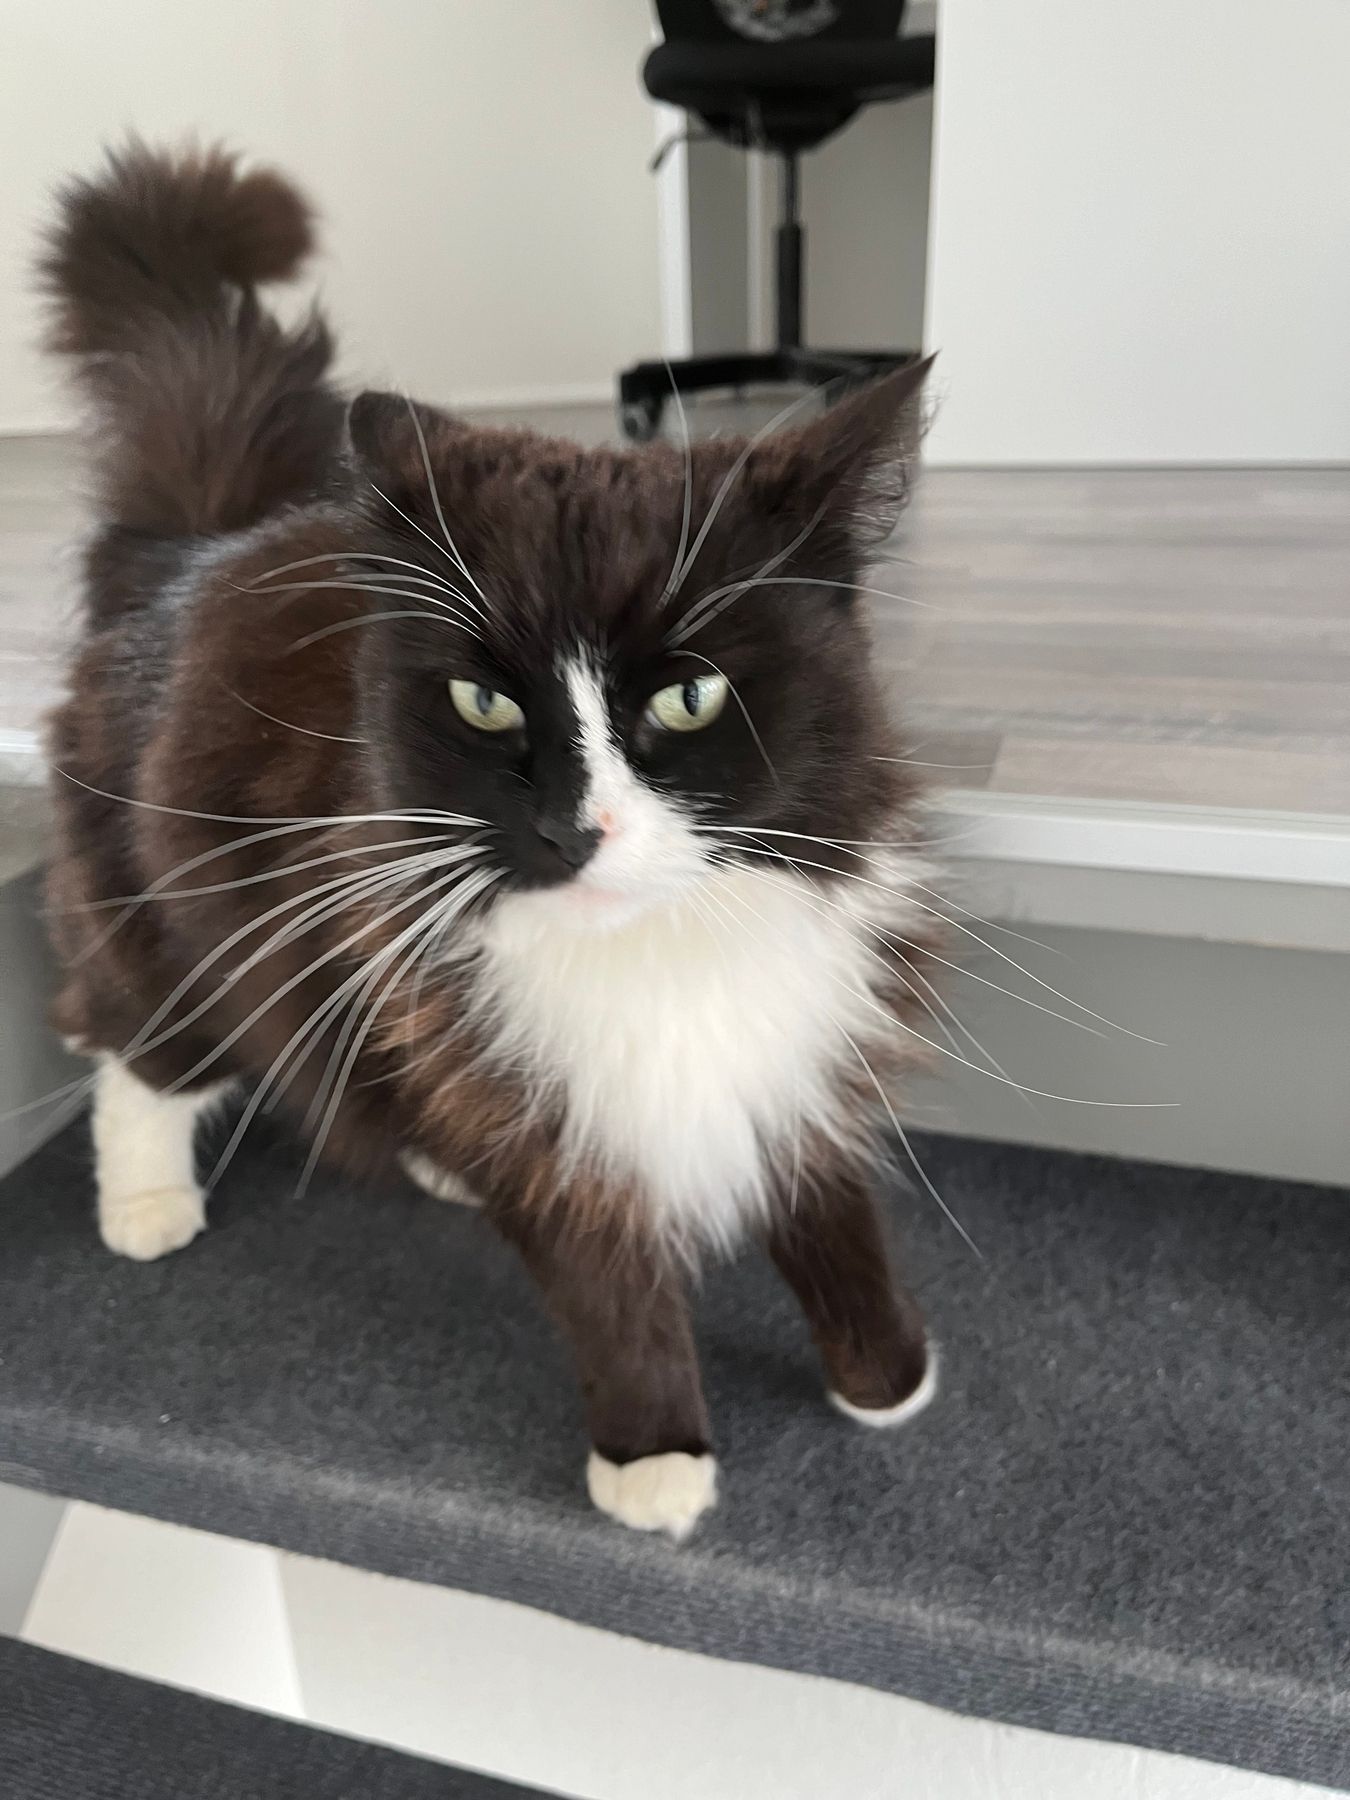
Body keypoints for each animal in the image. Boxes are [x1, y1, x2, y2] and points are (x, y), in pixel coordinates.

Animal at [39, 147, 943, 1540]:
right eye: (484, 704)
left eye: (690, 696)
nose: (573, 827)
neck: (660, 952)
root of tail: (193, 547)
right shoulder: (531, 1095)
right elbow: (607, 1286)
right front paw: (653, 1460)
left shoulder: (796, 1039)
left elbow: (833, 1213)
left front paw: (886, 1376)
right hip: (170, 924)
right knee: (133, 1054)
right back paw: (146, 1205)